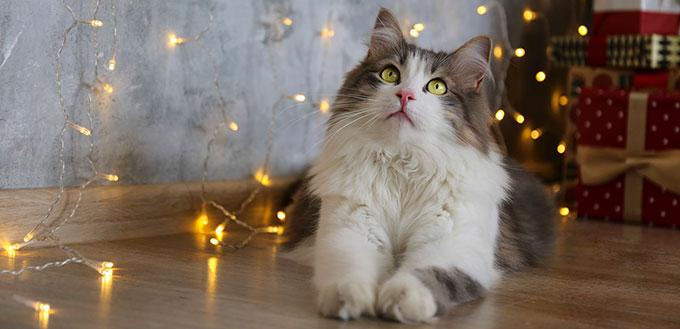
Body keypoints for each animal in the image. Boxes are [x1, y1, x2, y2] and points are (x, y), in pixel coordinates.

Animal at [284, 7, 556, 322]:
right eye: (390, 74)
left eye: (437, 87)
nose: (405, 95)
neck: (403, 163)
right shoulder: (349, 230)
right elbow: (349, 269)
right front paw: (347, 297)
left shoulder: (452, 245)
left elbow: (429, 274)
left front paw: (403, 298)